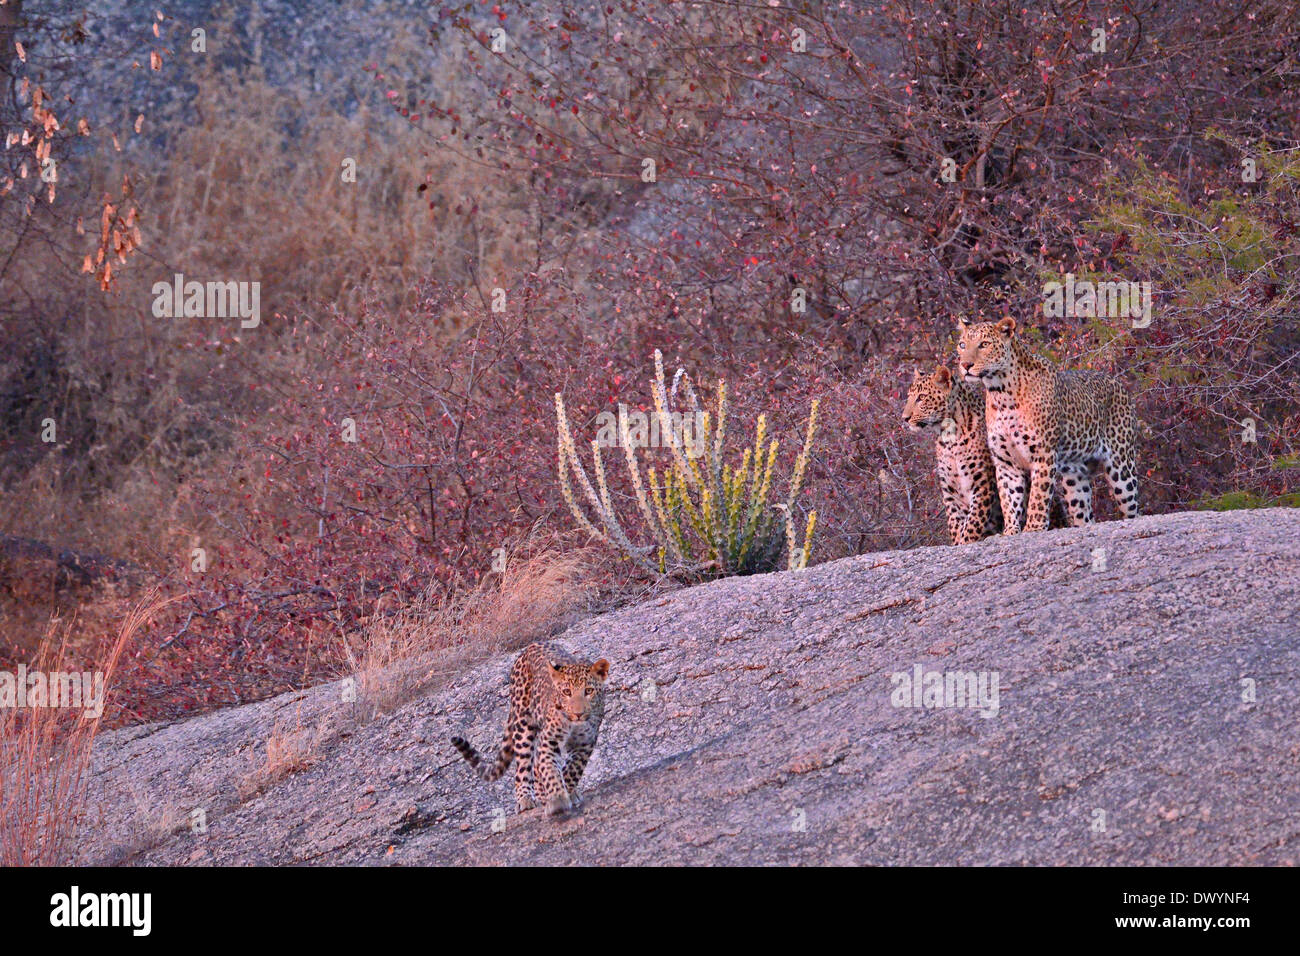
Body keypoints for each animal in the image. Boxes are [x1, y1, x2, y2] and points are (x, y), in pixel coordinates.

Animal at [452, 642, 608, 816]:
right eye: (566, 692)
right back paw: (526, 799)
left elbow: (573, 769)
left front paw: (567, 791)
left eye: (589, 691)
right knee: (524, 766)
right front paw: (557, 799)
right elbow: (549, 769)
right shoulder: (549, 740)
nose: (578, 713)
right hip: (523, 726)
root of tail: (530, 647)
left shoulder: (585, 743)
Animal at [904, 366, 1003, 546]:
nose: (905, 418)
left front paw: (965, 542)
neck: (949, 437)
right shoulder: (950, 491)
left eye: (921, 397)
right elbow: (955, 524)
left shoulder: (982, 483)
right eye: (909, 396)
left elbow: (973, 523)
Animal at [956, 317, 1138, 535]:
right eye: (962, 345)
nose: (965, 365)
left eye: (984, 344)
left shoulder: (1043, 454)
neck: (1001, 393)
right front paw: (1010, 531)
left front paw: (1033, 528)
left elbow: (1038, 496)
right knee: (1084, 515)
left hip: (1121, 466)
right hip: (1075, 479)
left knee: (1132, 508)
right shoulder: (1005, 462)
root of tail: (1118, 384)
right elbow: (1009, 499)